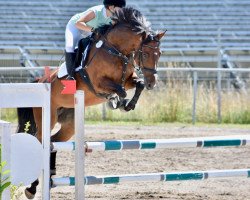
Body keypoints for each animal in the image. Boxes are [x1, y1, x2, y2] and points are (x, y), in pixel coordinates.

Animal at [18, 7, 166, 199]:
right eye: (146, 53)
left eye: (160, 54)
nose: (152, 83)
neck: (116, 51)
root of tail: (41, 81)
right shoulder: (98, 83)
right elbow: (120, 90)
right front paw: (117, 102)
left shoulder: (129, 80)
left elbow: (136, 85)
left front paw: (128, 105)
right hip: (47, 117)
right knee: (41, 141)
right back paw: (32, 188)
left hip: (70, 124)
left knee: (53, 142)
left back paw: (50, 178)